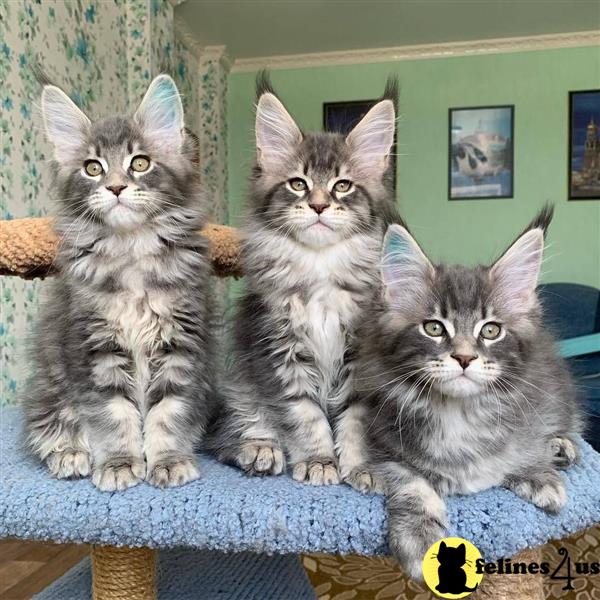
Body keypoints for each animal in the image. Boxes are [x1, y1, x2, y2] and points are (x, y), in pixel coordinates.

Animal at [24, 75, 214, 490]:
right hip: (49, 389)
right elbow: (112, 415)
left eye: (139, 163)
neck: (130, 251)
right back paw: (71, 455)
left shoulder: (180, 343)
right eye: (92, 168)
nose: (115, 187)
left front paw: (168, 460)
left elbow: (169, 411)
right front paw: (119, 462)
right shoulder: (94, 347)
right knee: (52, 427)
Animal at [213, 76, 400, 488]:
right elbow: (304, 415)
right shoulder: (279, 350)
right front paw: (319, 460)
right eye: (298, 184)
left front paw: (362, 465)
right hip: (240, 383)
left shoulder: (360, 358)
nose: (318, 205)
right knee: (227, 432)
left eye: (343, 186)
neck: (319, 269)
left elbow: (355, 420)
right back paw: (260, 449)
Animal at [346, 205, 580, 576]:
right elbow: (410, 481)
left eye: (491, 330)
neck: (456, 411)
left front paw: (538, 475)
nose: (465, 357)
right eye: (433, 328)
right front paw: (420, 536)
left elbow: (515, 452)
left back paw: (561, 448)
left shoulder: (530, 411)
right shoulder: (380, 441)